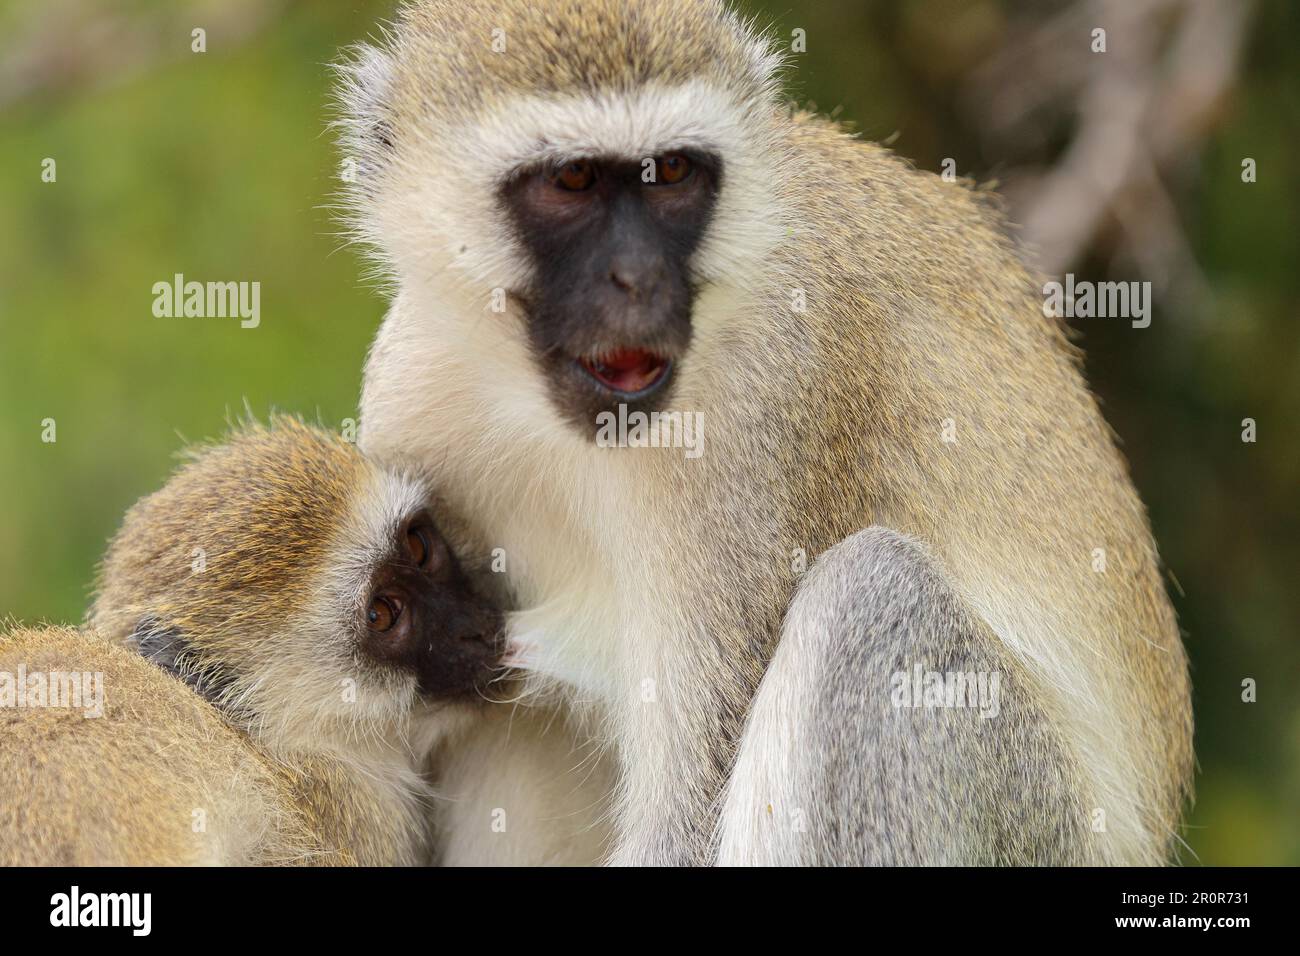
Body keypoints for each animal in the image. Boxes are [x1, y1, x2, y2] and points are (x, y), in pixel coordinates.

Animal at [340, 0, 1190, 868]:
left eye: (673, 173)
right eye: (572, 180)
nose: (639, 280)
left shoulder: (769, 400)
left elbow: (686, 817)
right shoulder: (411, 387)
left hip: (1032, 816)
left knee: (876, 593)